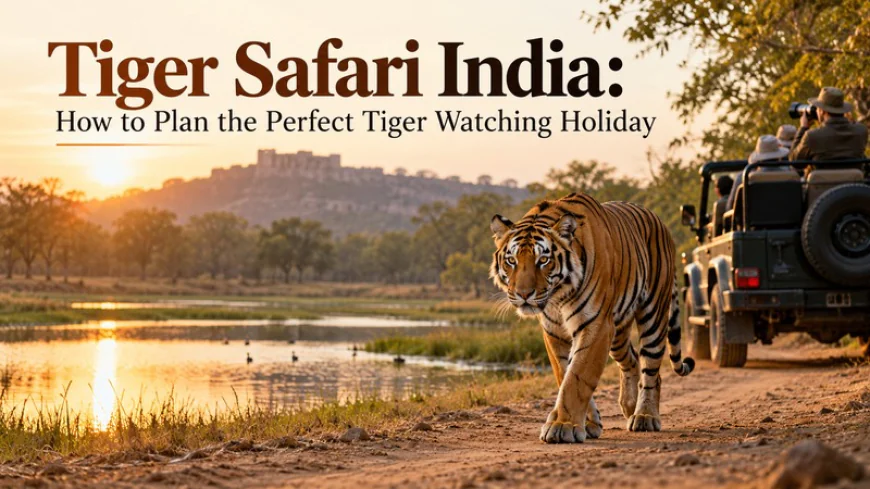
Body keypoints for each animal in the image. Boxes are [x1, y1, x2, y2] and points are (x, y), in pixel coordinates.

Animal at [489, 192, 694, 444]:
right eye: (512, 261)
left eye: (543, 260)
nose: (524, 294)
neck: (557, 296)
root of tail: (660, 222)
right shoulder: (553, 331)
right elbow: (564, 373)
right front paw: (588, 423)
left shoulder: (596, 325)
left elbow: (577, 377)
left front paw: (562, 426)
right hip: (618, 331)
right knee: (632, 359)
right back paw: (630, 406)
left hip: (653, 315)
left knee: (652, 368)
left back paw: (645, 416)